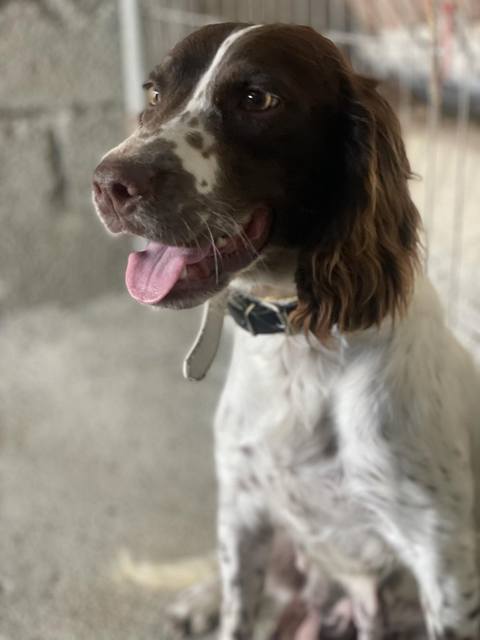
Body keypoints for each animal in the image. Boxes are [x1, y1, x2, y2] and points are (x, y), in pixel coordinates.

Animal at [92, 23, 480, 640]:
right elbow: (237, 609)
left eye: (258, 99)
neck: (297, 340)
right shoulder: (243, 508)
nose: (109, 183)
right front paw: (213, 603)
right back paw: (198, 598)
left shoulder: (441, 557)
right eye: (153, 93)